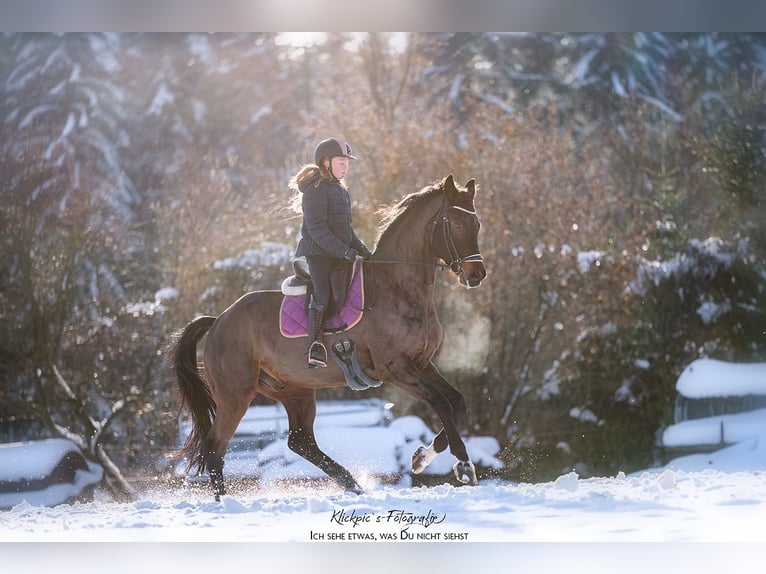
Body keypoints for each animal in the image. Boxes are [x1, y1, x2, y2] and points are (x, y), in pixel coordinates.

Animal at [171, 174, 488, 500]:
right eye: (457, 224)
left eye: (476, 225)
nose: (477, 275)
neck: (397, 288)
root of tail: (219, 321)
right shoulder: (396, 369)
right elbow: (441, 403)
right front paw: (463, 464)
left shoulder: (422, 364)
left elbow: (457, 402)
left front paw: (422, 456)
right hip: (236, 396)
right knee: (215, 448)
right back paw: (224, 502)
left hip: (294, 390)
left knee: (300, 442)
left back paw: (352, 483)